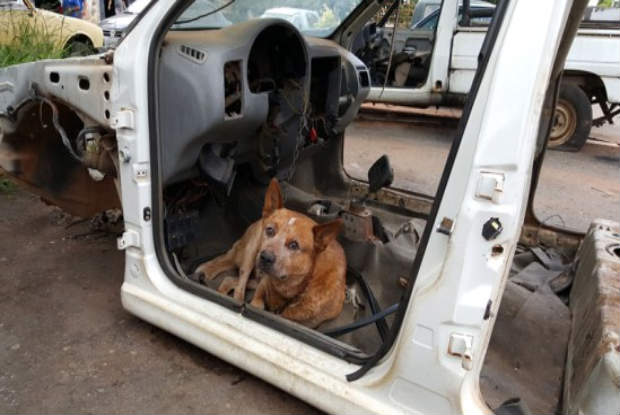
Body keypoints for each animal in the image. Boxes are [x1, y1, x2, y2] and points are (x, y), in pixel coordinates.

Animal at [196, 179, 346, 328]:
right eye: (270, 230)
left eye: (294, 245)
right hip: (252, 251)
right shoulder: (262, 287)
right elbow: (257, 303)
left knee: (230, 279)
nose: (265, 257)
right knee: (240, 286)